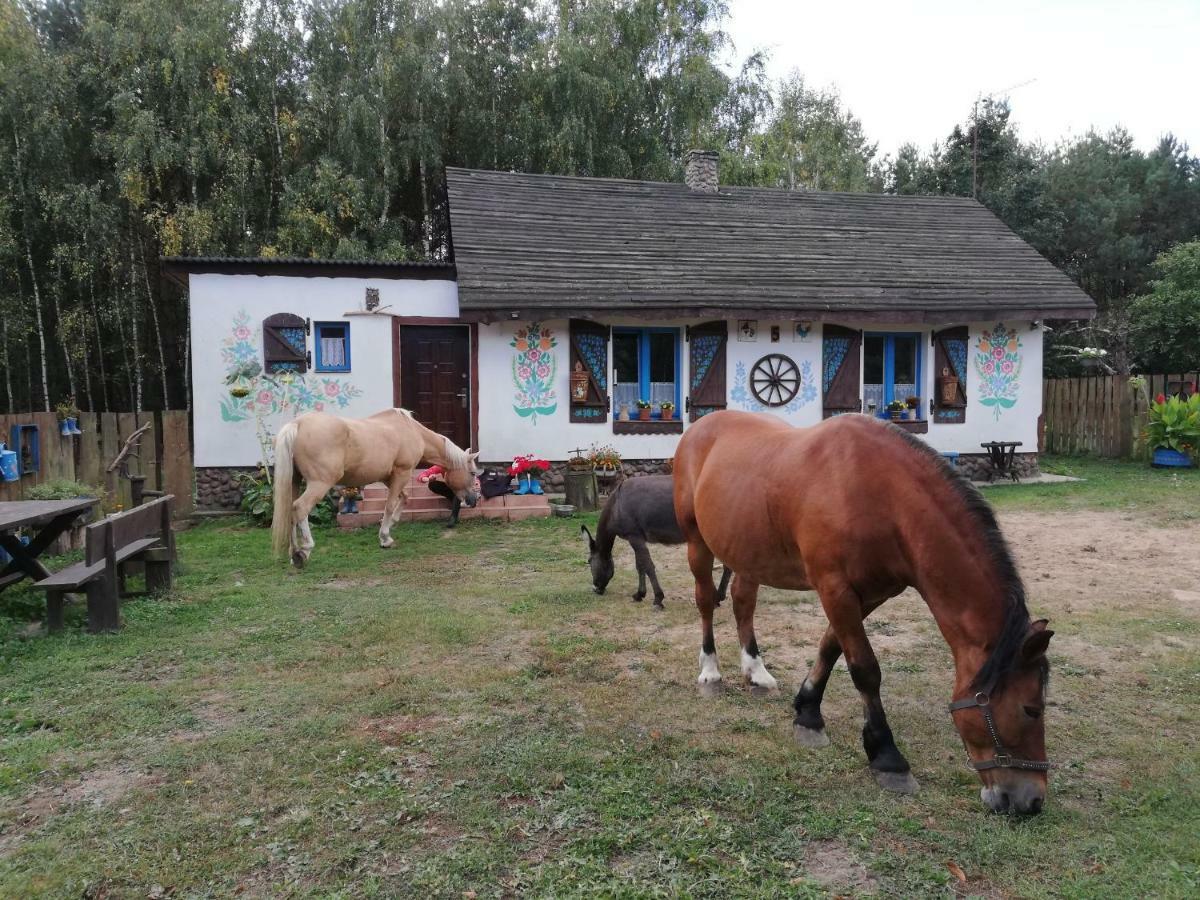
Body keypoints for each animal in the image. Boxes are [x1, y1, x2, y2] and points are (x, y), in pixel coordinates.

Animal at [270, 410, 480, 566]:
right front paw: (385, 538)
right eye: (472, 473)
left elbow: (403, 498)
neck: (412, 431)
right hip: (319, 483)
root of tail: (297, 424)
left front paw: (391, 523)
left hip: (294, 482)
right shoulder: (402, 473)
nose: (473, 500)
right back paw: (303, 551)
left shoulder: (389, 477)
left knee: (290, 510)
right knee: (300, 508)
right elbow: (390, 504)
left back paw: (293, 552)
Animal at [676, 415, 1051, 816]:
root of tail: (699, 426)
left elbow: (830, 647)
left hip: (748, 552)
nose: (1032, 800)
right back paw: (710, 671)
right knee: (705, 602)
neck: (881, 495)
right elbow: (865, 669)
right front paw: (887, 757)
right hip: (697, 543)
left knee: (743, 601)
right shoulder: (835, 589)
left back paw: (756, 672)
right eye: (1030, 710)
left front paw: (808, 713)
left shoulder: (870, 594)